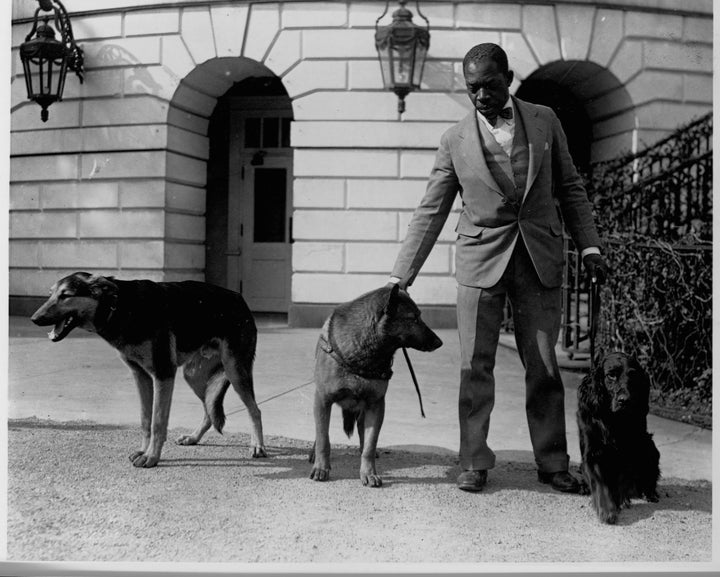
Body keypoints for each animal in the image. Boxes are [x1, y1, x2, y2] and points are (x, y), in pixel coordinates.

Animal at [30, 272, 268, 468]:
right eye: (50, 295)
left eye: (66, 295)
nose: (34, 319)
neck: (119, 307)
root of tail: (239, 297)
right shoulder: (141, 376)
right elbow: (146, 420)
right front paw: (144, 451)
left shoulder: (163, 375)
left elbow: (157, 422)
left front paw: (152, 457)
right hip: (194, 376)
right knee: (209, 410)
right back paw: (193, 437)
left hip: (235, 371)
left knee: (255, 410)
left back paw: (258, 445)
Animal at [308, 284, 442, 486]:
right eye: (414, 318)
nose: (439, 342)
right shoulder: (323, 400)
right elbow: (323, 439)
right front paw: (321, 468)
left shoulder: (376, 405)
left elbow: (370, 445)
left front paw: (368, 472)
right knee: (321, 431)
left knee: (363, 434)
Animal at [576, 348, 660, 524]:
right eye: (611, 375)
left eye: (633, 376)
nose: (625, 401)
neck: (613, 420)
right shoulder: (591, 454)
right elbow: (600, 483)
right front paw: (607, 509)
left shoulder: (629, 451)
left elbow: (622, 479)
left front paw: (619, 500)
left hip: (650, 446)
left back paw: (649, 493)